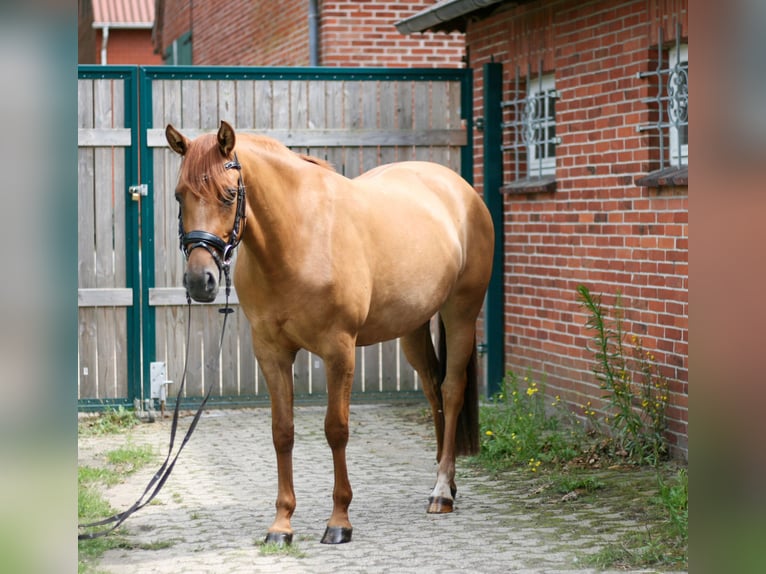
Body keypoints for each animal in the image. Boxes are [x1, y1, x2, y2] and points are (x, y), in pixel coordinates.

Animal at [165, 120, 496, 544]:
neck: (298, 237)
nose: (200, 281)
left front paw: (339, 521)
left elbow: (336, 429)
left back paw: (441, 493)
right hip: (413, 326)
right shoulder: (271, 353)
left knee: (452, 390)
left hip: (461, 314)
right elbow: (282, 432)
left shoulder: (339, 350)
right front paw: (282, 523)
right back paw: (446, 481)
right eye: (180, 196)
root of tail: (460, 189)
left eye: (228, 194)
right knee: (433, 389)